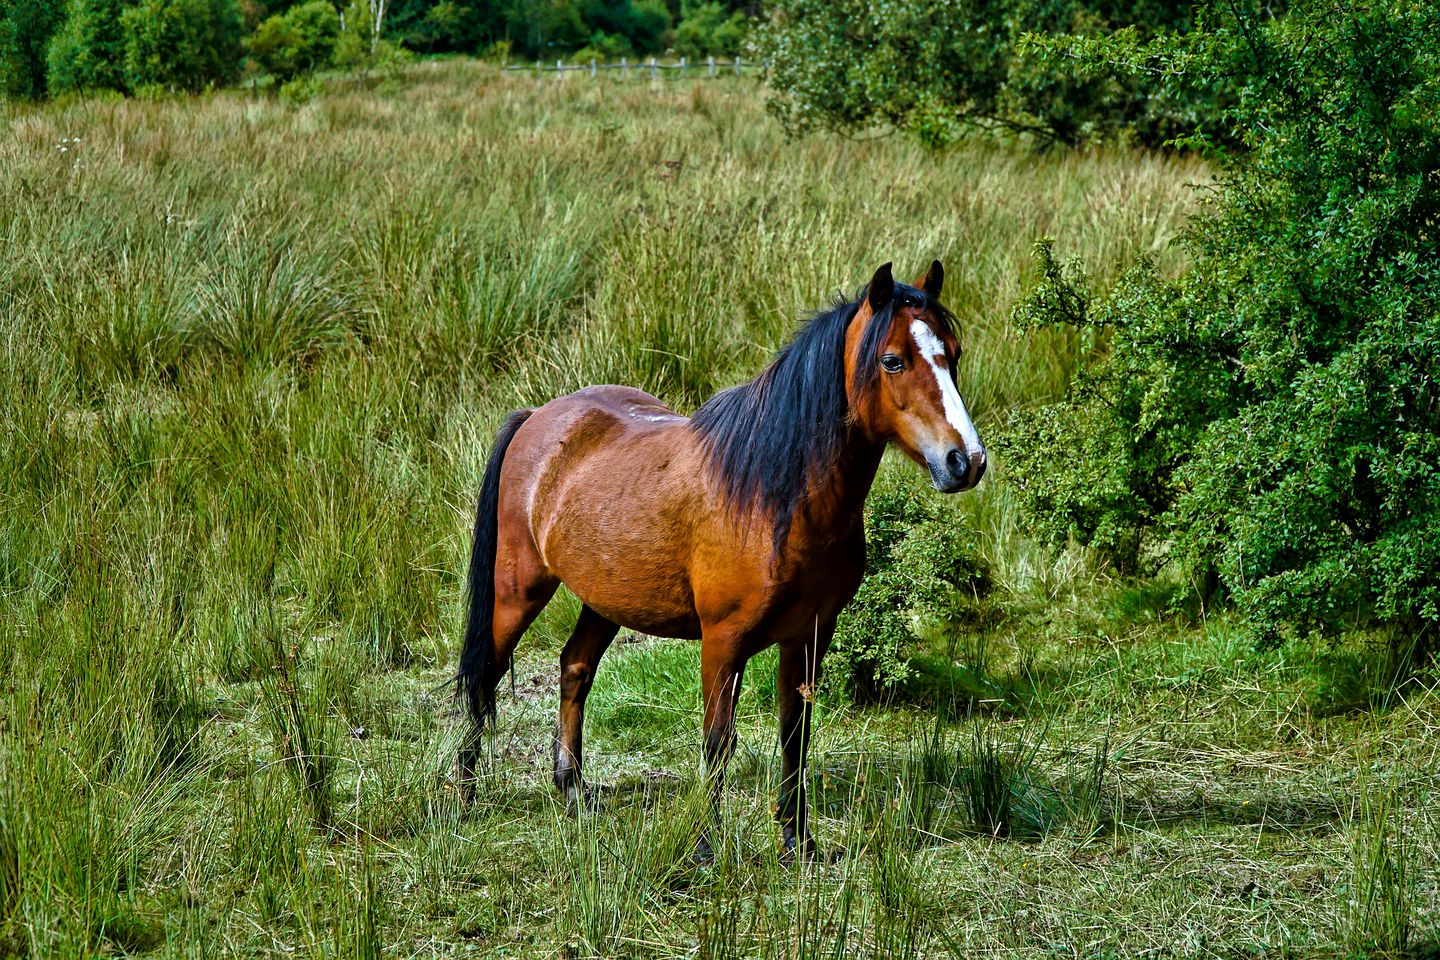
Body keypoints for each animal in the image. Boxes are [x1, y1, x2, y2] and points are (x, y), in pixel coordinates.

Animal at [455, 259, 984, 857]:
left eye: (954, 353)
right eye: (892, 360)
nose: (965, 461)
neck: (776, 494)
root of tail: (538, 417)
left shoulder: (809, 636)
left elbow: (795, 736)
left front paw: (796, 841)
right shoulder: (723, 641)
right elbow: (717, 741)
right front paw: (706, 845)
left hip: (606, 599)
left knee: (575, 669)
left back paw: (571, 790)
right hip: (517, 591)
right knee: (484, 676)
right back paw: (465, 796)